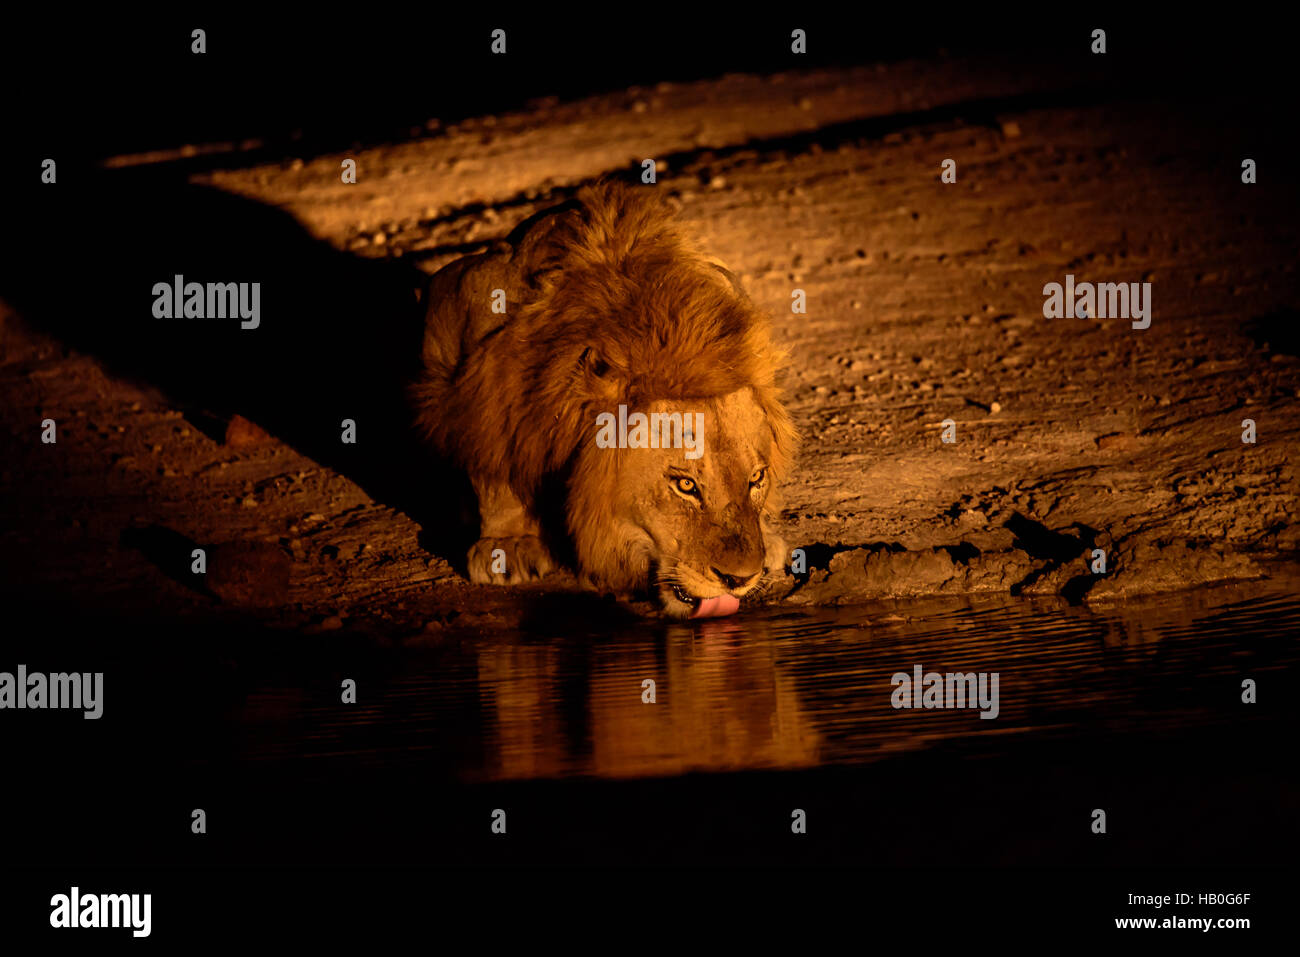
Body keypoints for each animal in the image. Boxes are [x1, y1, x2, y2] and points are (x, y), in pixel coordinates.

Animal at [410, 180, 795, 621]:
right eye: (685, 485)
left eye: (757, 479)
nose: (740, 578)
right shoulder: (469, 322)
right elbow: (493, 456)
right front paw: (507, 544)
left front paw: (768, 536)